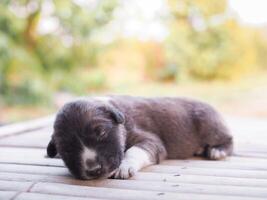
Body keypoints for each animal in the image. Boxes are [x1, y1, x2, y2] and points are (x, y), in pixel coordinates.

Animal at [47, 95, 233, 180]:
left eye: (101, 133)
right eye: (67, 150)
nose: (94, 170)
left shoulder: (150, 140)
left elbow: (134, 151)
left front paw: (125, 166)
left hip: (209, 125)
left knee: (228, 140)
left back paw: (217, 150)